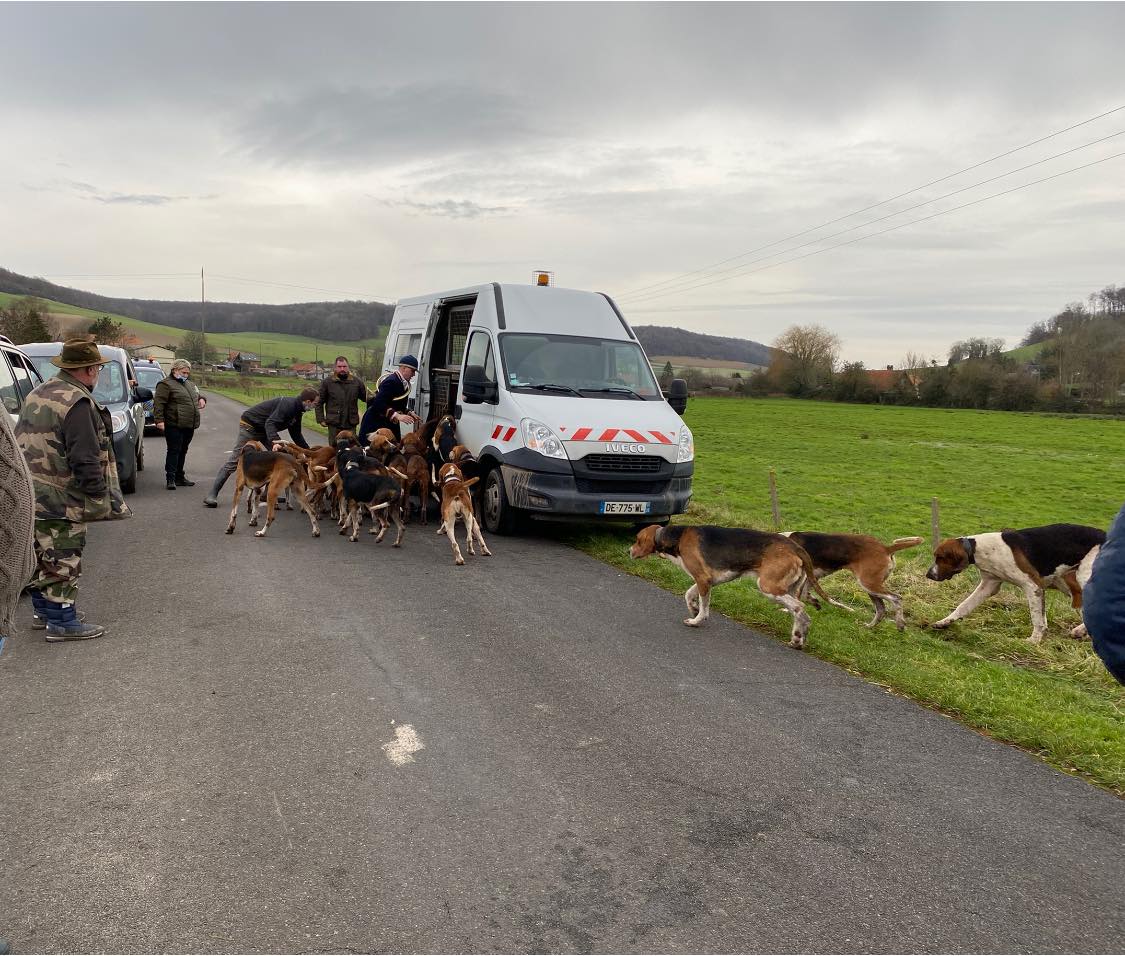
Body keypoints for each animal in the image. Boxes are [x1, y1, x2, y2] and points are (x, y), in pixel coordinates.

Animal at [927, 521, 1102, 638]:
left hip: (1082, 577)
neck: (978, 549)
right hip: (1067, 582)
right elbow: (964, 606)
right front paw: (944, 622)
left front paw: (1034, 641)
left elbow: (1037, 619)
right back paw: (1081, 631)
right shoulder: (989, 585)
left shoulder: (1033, 586)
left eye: (939, 557)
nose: (928, 574)